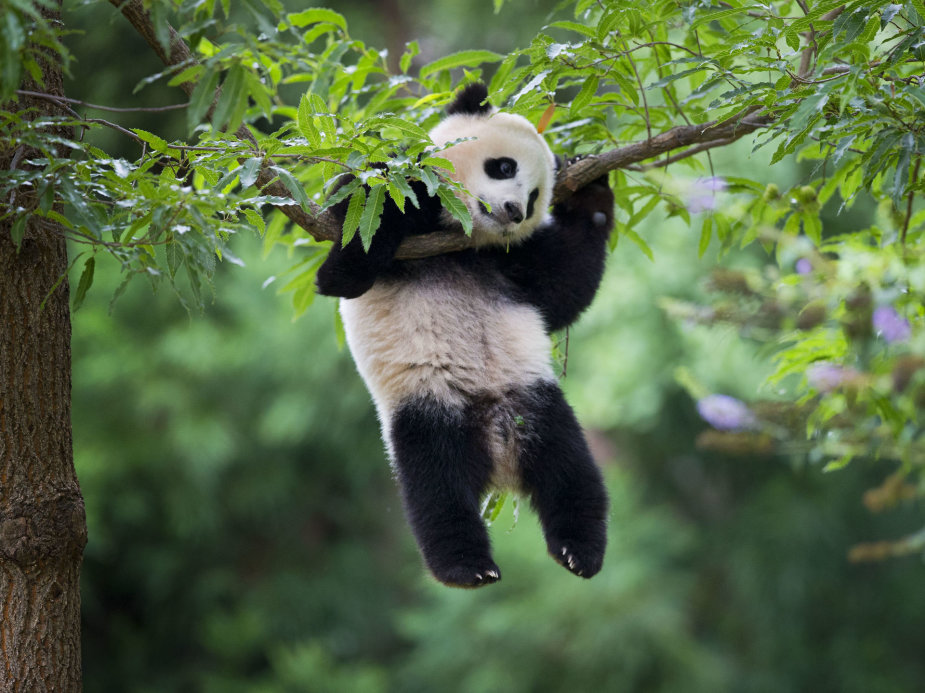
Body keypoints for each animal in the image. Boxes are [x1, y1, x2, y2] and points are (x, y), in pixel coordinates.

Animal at [318, 82, 612, 588]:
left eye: (535, 197)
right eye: (504, 167)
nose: (513, 211)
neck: (462, 238)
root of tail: (500, 455)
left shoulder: (510, 261)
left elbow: (564, 285)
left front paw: (591, 189)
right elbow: (358, 231)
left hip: (537, 406)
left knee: (572, 475)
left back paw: (580, 551)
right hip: (431, 408)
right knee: (438, 490)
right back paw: (467, 566)